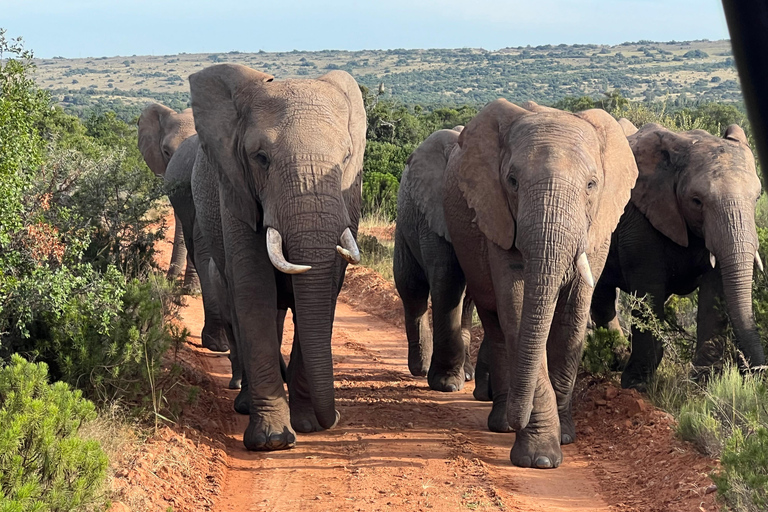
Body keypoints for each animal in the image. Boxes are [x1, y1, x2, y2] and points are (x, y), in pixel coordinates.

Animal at [187, 64, 366, 452]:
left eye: (346, 158)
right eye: (261, 159)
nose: (334, 419)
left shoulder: (350, 197)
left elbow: (325, 291)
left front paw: (308, 425)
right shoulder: (235, 190)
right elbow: (255, 291)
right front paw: (272, 441)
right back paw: (244, 404)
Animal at [392, 127, 476, 392]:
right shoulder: (434, 214)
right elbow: (447, 279)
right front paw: (446, 384)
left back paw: (467, 373)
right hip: (405, 224)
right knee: (411, 288)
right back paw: (421, 369)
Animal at [440, 99, 640, 468]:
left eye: (592, 185)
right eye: (513, 181)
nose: (518, 417)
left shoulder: (597, 229)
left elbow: (571, 321)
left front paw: (564, 437)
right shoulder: (498, 216)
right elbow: (519, 311)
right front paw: (540, 459)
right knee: (497, 326)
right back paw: (502, 423)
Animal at [592, 122, 764, 390]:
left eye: (757, 197)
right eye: (696, 201)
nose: (757, 372)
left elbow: (714, 292)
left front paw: (701, 386)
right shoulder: (640, 220)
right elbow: (649, 290)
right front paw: (635, 386)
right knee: (601, 295)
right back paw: (617, 362)